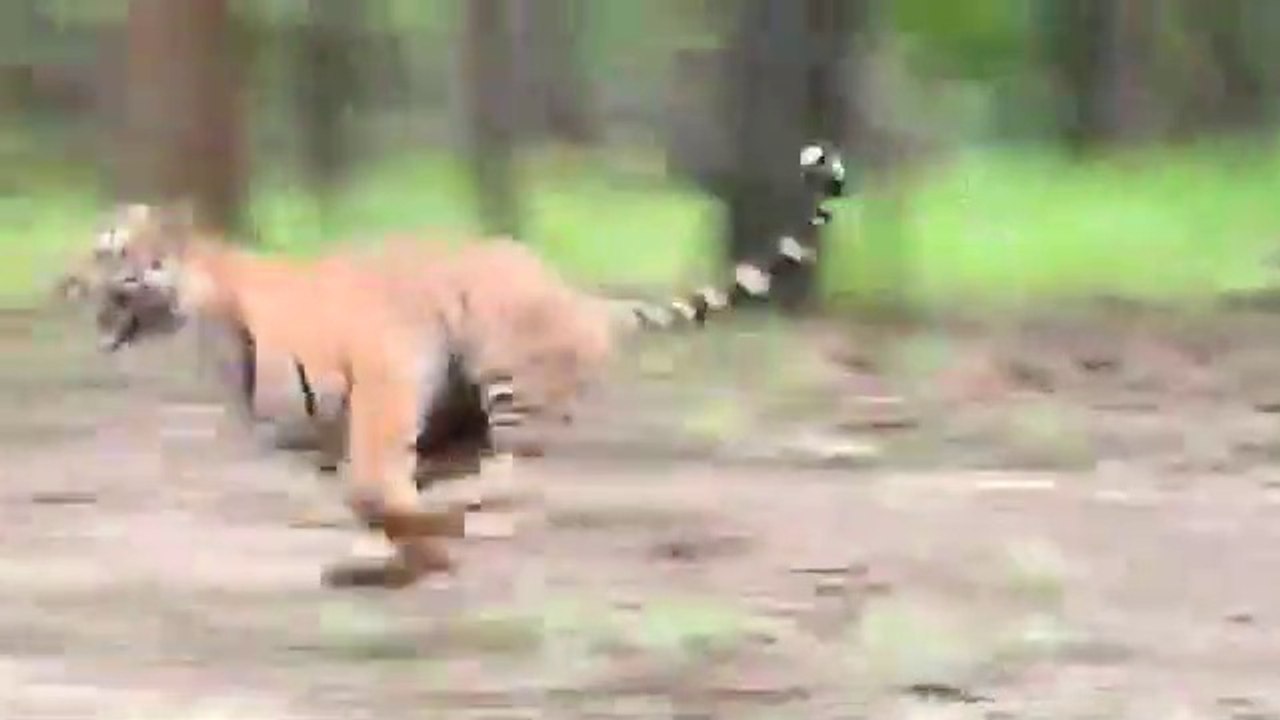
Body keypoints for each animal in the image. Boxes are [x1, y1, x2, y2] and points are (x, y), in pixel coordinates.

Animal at [58, 142, 846, 590]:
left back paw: (478, 519)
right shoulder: (324, 436)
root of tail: (580, 296)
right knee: (473, 475)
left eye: (109, 251)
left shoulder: (384, 372)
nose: (61, 282)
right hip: (465, 414)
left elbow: (373, 485)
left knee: (517, 483)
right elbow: (373, 501)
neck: (207, 322)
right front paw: (403, 559)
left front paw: (416, 549)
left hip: (510, 385)